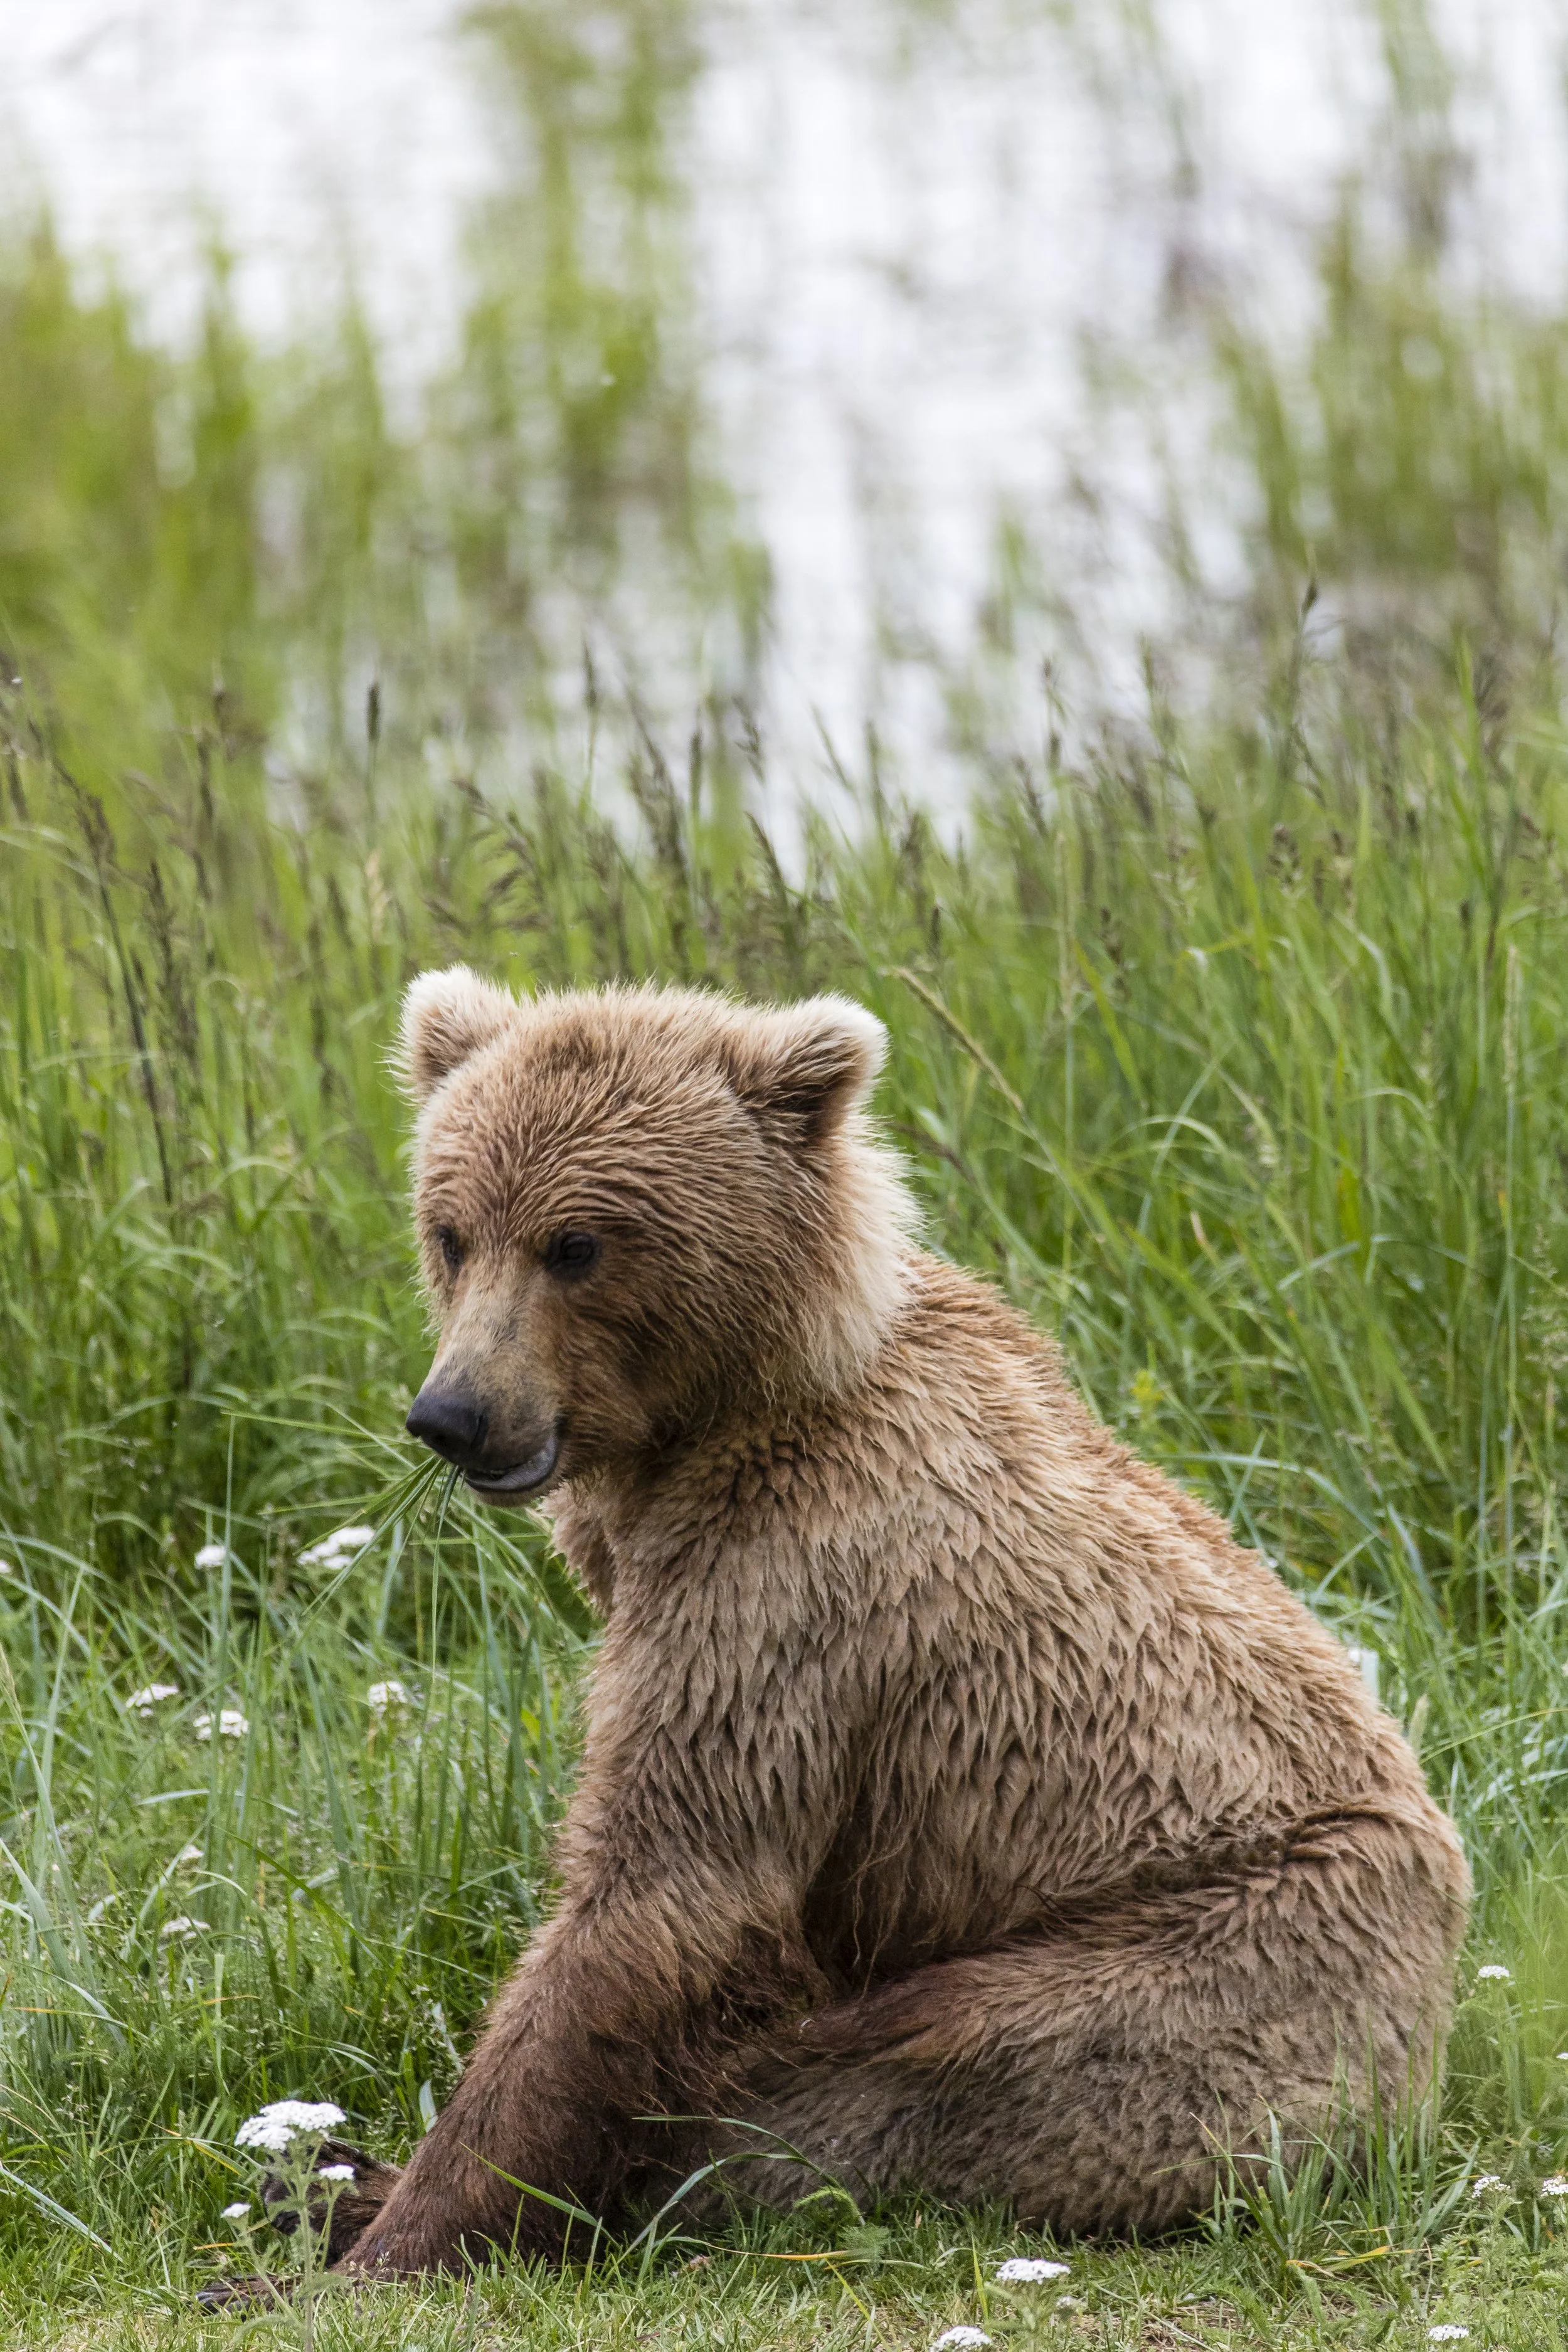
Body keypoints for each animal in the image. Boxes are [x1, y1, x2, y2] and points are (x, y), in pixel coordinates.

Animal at [302, 971, 1472, 2277]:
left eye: (577, 1244)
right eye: (451, 1230)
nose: (454, 1414)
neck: (722, 1419)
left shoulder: (791, 1591)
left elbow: (667, 1893)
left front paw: (402, 2235)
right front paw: (378, 2198)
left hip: (1209, 1963)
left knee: (892, 2080)